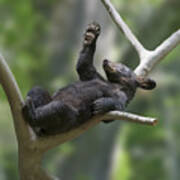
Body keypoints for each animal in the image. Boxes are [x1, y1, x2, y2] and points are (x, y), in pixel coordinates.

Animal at [22, 22, 155, 136]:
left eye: (122, 66)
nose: (106, 61)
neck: (115, 84)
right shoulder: (94, 77)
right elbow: (84, 66)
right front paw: (91, 34)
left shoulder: (122, 95)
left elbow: (117, 109)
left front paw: (102, 104)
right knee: (38, 90)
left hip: (68, 119)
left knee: (58, 109)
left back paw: (32, 115)